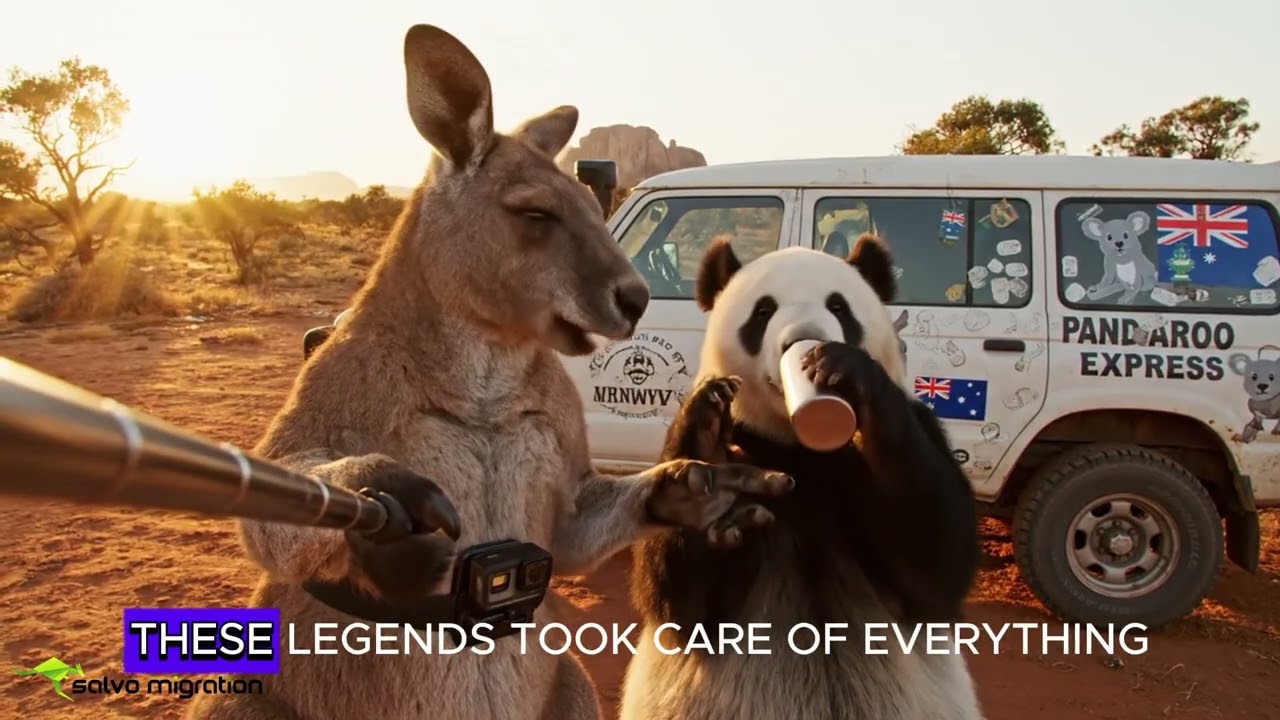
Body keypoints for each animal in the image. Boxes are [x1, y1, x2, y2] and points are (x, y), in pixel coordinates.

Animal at [621, 234, 985, 720]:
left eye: (839, 306)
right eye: (763, 311)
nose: (804, 340)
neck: (802, 452)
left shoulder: (917, 431)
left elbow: (935, 562)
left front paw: (848, 370)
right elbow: (678, 606)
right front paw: (711, 479)